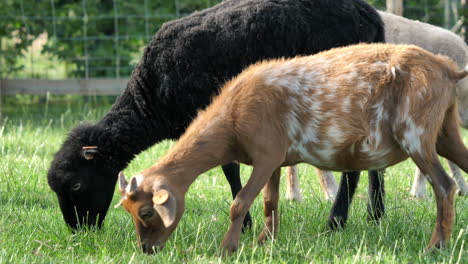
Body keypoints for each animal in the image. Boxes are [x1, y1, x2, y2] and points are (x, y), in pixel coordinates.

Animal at [45, 0, 386, 231]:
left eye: (75, 185)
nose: (80, 232)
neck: (151, 96)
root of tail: (369, 15)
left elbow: (229, 169)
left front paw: (245, 224)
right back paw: (375, 214)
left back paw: (337, 221)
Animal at [116, 43, 468, 256]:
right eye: (129, 212)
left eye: (146, 212)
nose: (147, 250)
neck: (231, 117)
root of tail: (447, 68)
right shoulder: (274, 161)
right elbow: (269, 202)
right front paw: (265, 242)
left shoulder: (266, 154)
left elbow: (240, 202)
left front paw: (228, 249)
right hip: (446, 131)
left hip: (416, 132)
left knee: (444, 186)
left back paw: (436, 247)